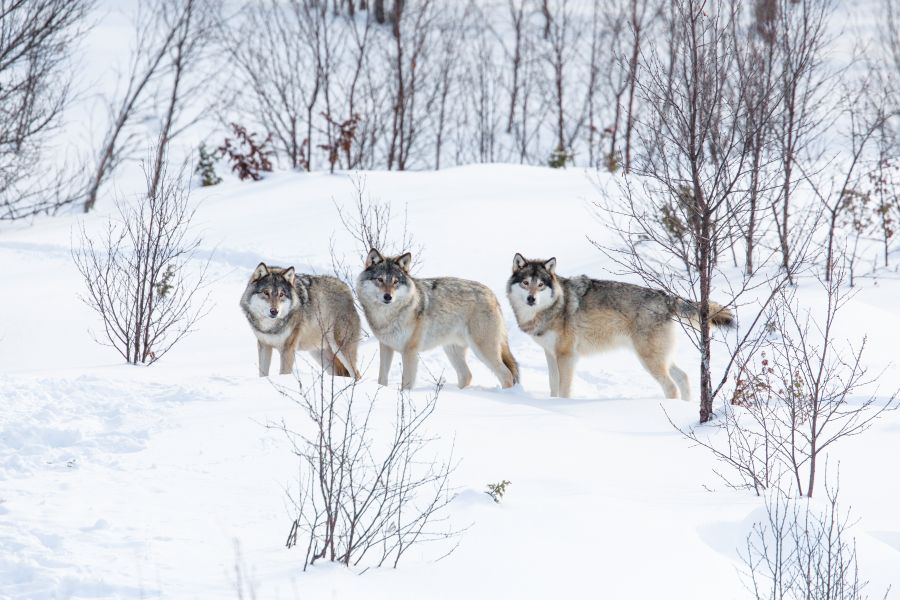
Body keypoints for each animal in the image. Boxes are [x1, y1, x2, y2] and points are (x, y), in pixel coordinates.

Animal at [356, 247, 516, 390]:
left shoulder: (410, 351)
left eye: (396, 281)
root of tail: (491, 294)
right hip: (452, 350)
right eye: (380, 279)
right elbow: (382, 378)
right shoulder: (386, 346)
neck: (387, 316)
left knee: (507, 375)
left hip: (482, 350)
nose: (388, 297)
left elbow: (406, 384)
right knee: (467, 375)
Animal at [506, 253, 732, 398]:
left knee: (671, 387)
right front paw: (552, 405)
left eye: (540, 285)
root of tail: (665, 297)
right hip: (661, 358)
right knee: (683, 377)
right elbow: (553, 386)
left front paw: (561, 406)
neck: (554, 307)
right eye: (525, 283)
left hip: (649, 360)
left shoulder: (566, 356)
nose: (531, 299)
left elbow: (563, 390)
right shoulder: (551, 354)